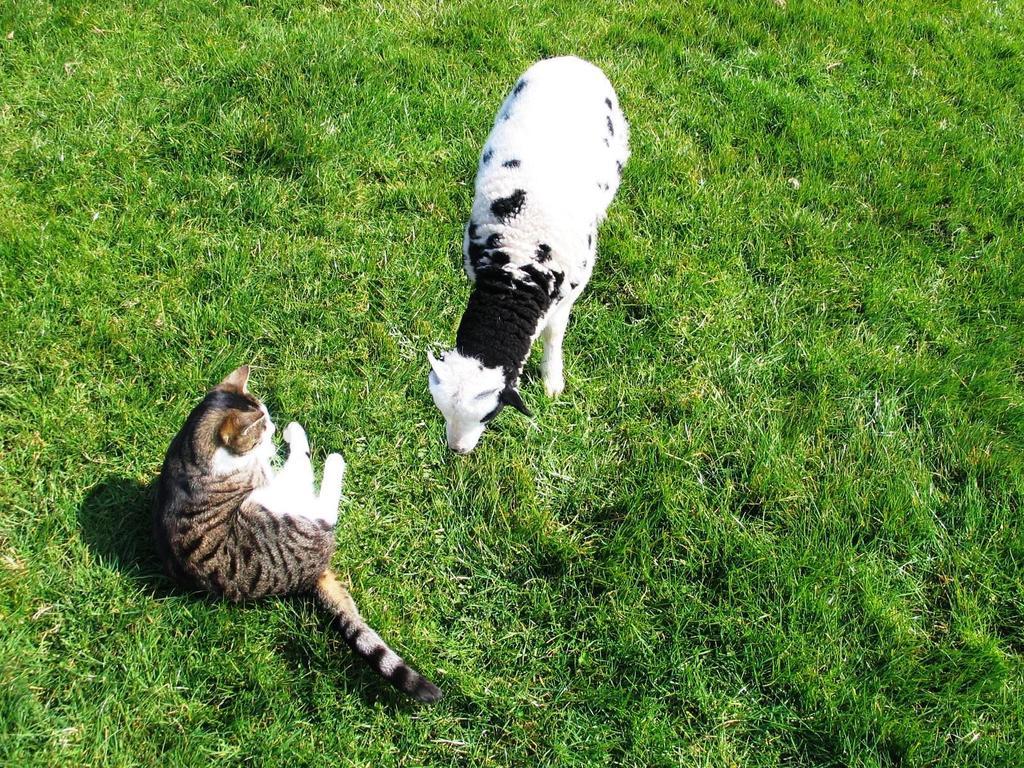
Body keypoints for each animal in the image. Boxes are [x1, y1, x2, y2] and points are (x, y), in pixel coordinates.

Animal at [153, 366, 442, 704]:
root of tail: (310, 574)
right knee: (323, 507)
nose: (274, 427)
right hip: (279, 510)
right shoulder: (264, 480)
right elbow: (293, 463)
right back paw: (333, 460)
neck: (189, 449)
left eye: (267, 419)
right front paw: (289, 437)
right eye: (263, 429)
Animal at [425, 57, 630, 454]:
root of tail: (572, 60)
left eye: (489, 415)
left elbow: (553, 335)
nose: (457, 450)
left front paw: (552, 381)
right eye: (440, 408)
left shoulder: (566, 294)